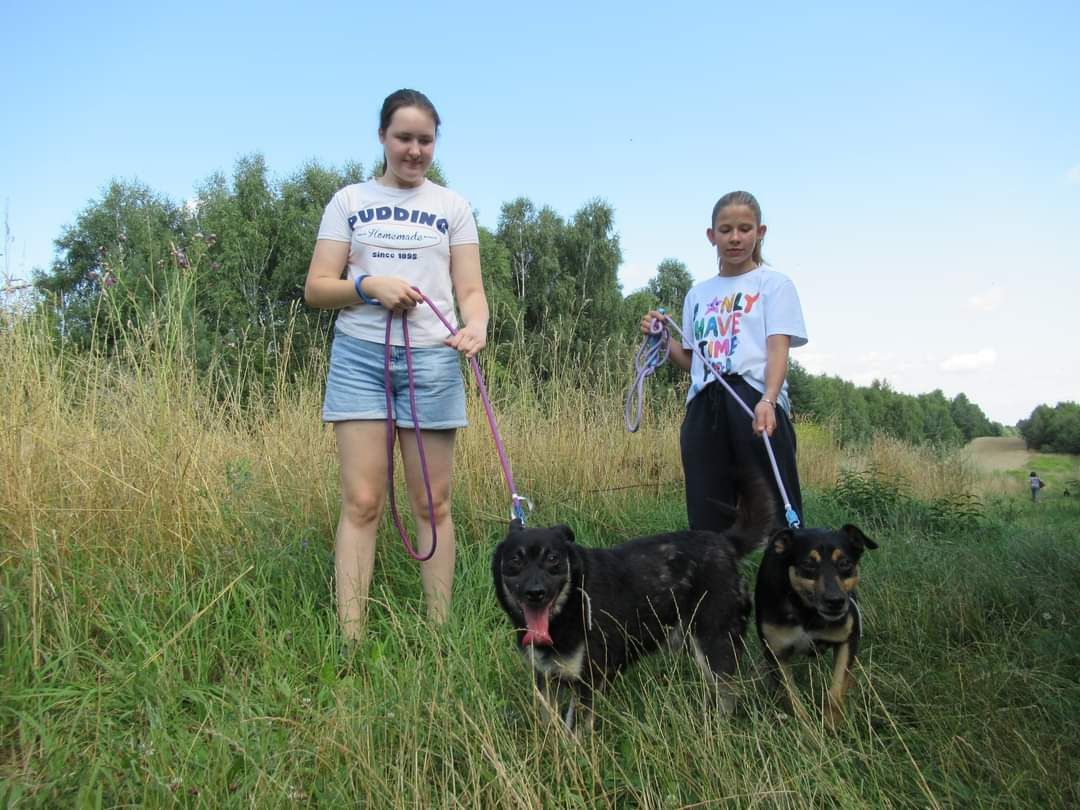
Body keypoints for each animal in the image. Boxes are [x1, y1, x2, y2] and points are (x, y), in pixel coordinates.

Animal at [492, 514, 768, 734]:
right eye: (515, 560)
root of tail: (725, 544)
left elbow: (575, 732)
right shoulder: (544, 679)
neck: (573, 599)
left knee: (728, 698)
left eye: (552, 558)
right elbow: (549, 723)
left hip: (715, 647)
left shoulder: (588, 682)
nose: (535, 593)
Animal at [751, 527, 876, 730]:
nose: (835, 601)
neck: (807, 611)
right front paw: (808, 729)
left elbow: (836, 690)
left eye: (845, 563)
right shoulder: (777, 653)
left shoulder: (848, 639)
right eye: (808, 564)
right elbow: (792, 697)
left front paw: (831, 723)